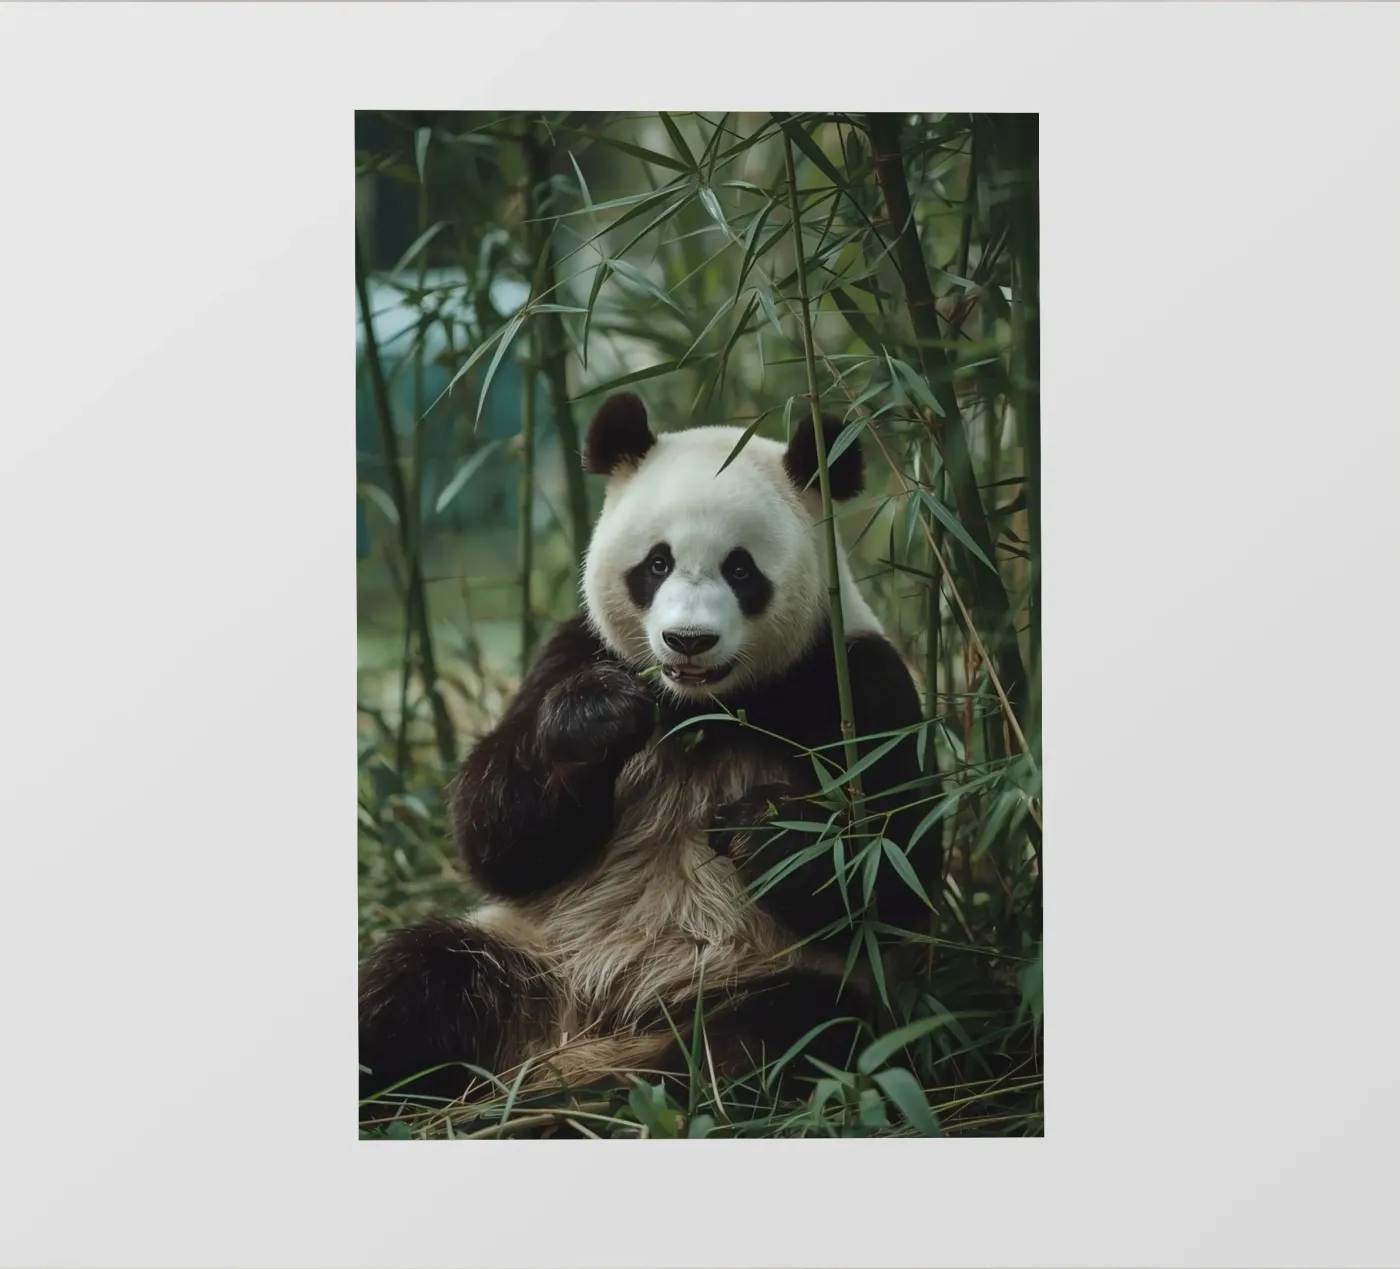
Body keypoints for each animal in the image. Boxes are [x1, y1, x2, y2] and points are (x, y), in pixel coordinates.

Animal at [359, 392, 939, 1117]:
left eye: (741, 568)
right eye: (657, 563)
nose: (688, 640)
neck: (701, 707)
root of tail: (582, 1032)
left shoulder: (854, 680)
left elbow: (894, 865)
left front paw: (760, 826)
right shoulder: (573, 651)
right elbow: (497, 836)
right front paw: (599, 719)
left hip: (748, 973)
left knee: (782, 1033)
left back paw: (637, 1095)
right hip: (534, 953)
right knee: (416, 979)